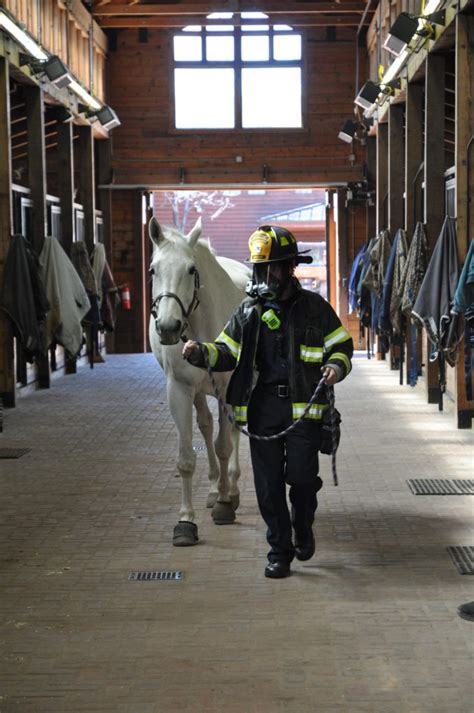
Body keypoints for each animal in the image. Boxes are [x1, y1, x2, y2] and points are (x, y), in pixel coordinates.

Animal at [149, 216, 252, 544]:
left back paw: (230, 488)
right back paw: (213, 487)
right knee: (206, 426)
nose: (168, 327)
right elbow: (186, 458)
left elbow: (224, 446)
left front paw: (225, 504)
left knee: (232, 431)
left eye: (191, 269)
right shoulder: (179, 389)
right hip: (198, 391)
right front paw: (186, 521)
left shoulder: (226, 388)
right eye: (153, 269)